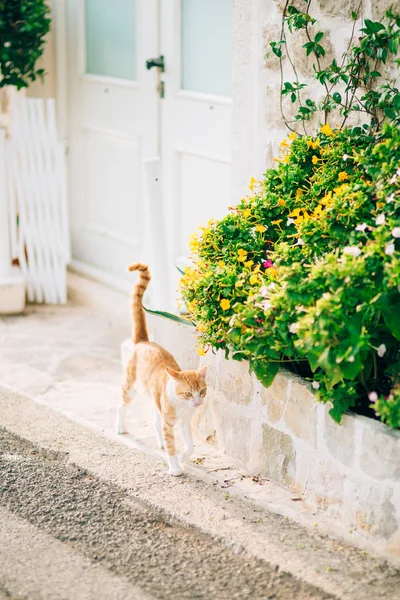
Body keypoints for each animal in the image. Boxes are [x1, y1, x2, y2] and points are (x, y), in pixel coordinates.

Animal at [115, 262, 208, 474]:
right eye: (188, 393)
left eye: (202, 391)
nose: (198, 402)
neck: (182, 407)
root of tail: (144, 341)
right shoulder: (169, 423)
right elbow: (172, 445)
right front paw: (175, 467)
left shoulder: (185, 423)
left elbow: (190, 446)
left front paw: (184, 457)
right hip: (131, 387)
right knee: (122, 405)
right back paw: (120, 427)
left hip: (155, 398)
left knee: (155, 419)